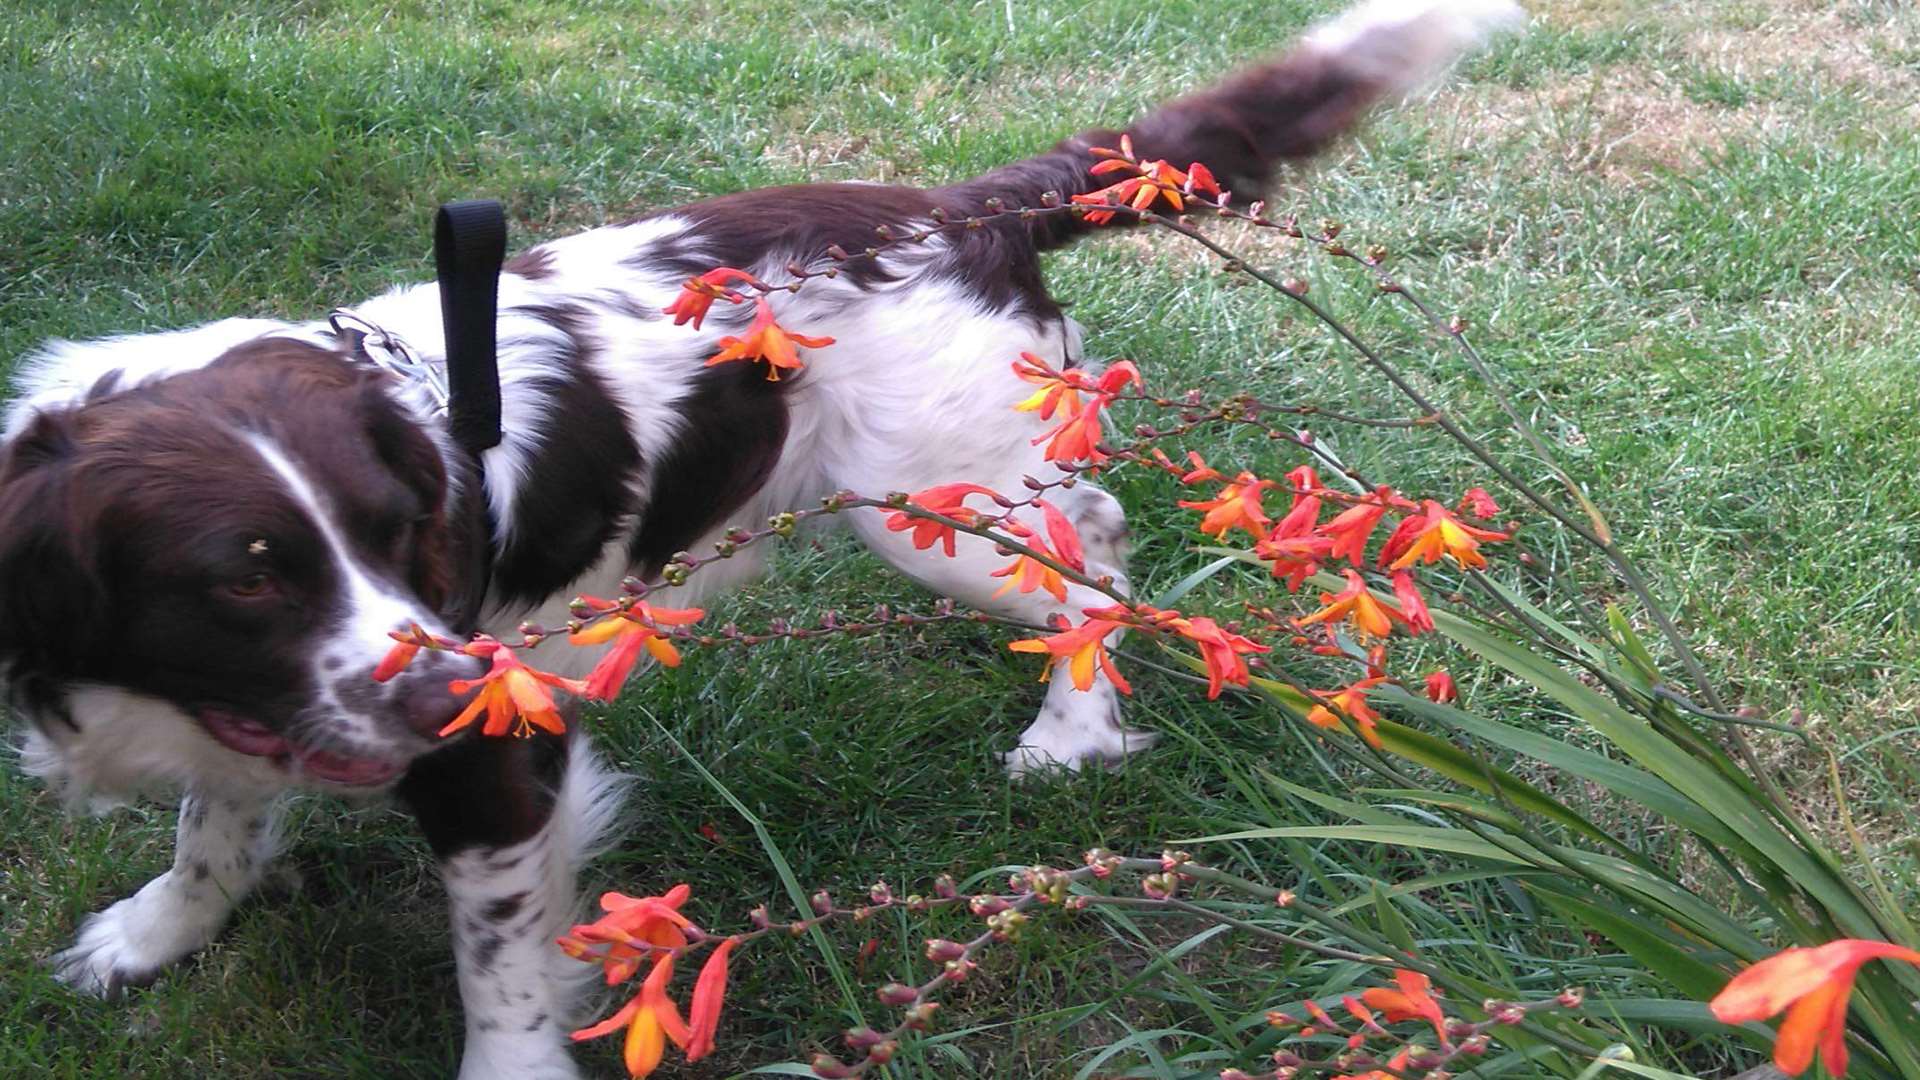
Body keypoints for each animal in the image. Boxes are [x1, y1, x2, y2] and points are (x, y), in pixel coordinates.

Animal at [0, 4, 1520, 1068]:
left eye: (401, 529)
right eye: (241, 582)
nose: (437, 694)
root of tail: (958, 207)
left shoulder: (498, 750)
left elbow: (502, 982)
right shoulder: (273, 702)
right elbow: (211, 825)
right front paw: (152, 935)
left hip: (935, 515)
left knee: (1088, 549)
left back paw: (1073, 732)